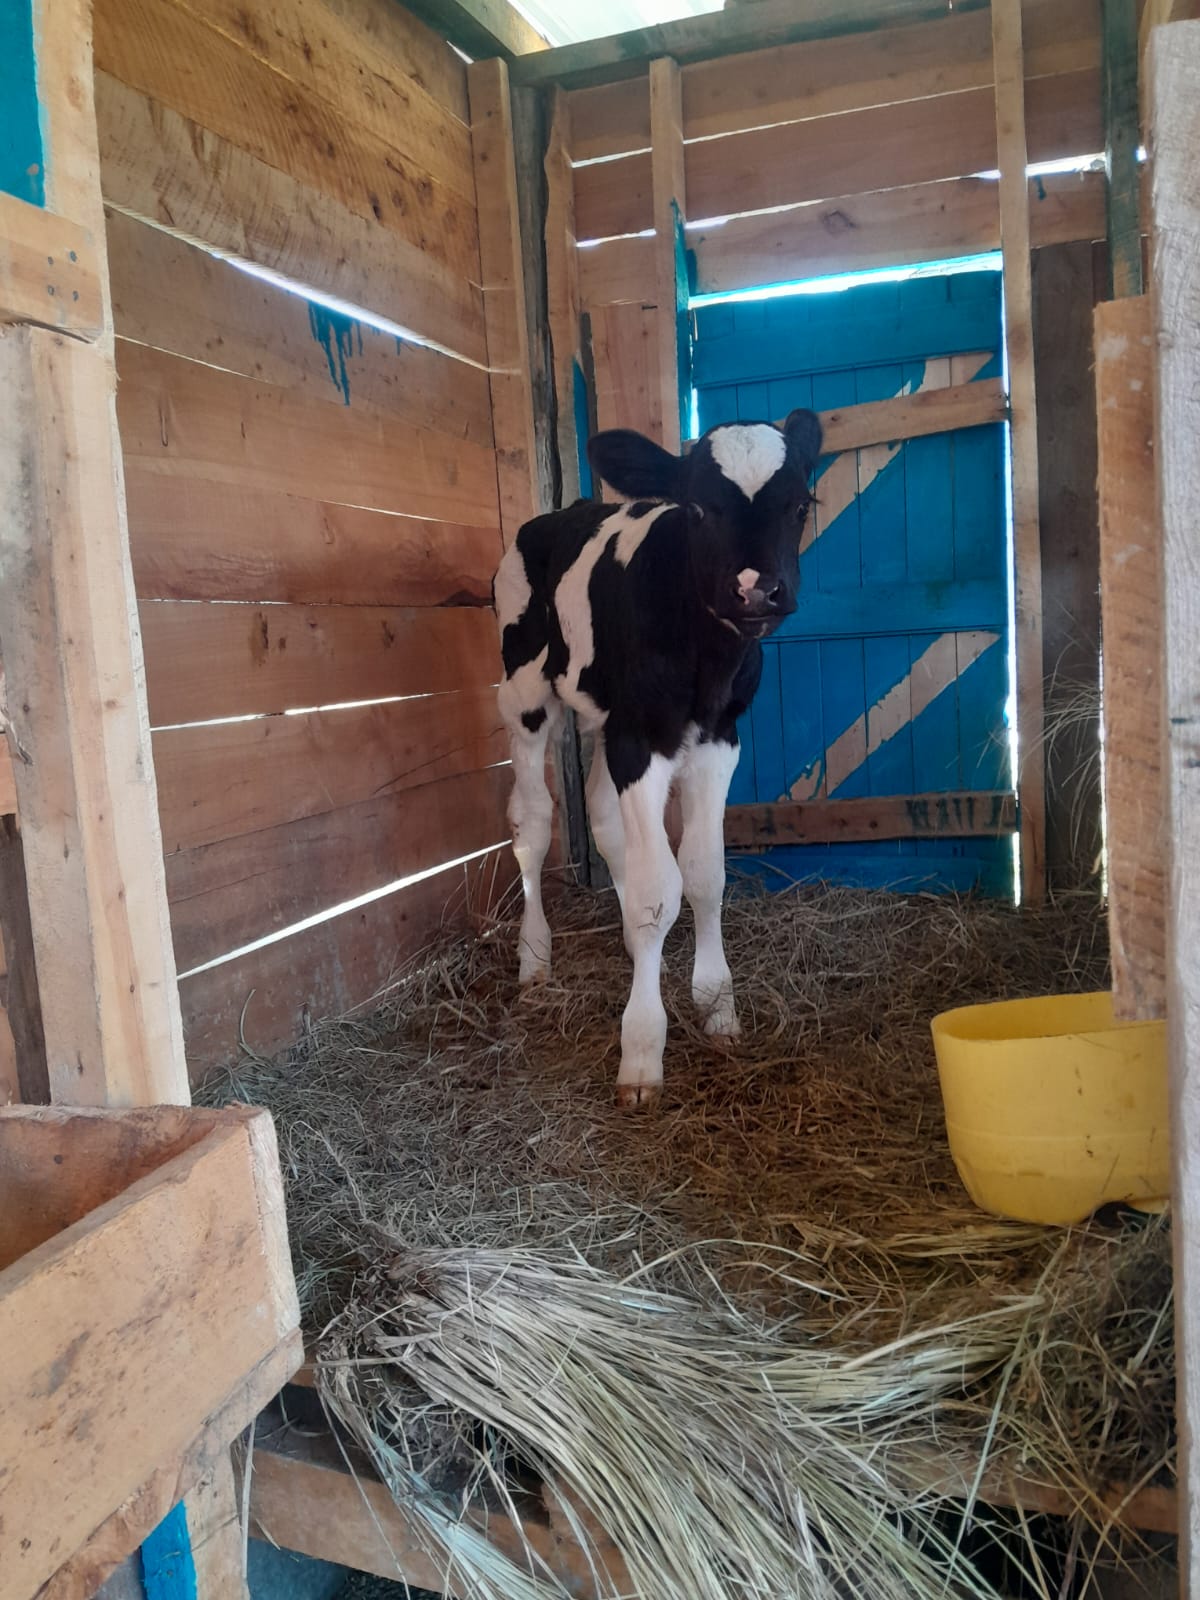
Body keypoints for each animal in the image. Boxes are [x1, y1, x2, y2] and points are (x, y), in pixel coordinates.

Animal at [494, 409, 823, 1106]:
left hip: (605, 716)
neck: (705, 659)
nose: (756, 591)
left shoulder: (717, 737)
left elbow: (703, 874)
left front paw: (718, 1007)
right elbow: (655, 894)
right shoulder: (641, 741)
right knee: (532, 822)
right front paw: (642, 1051)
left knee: (602, 815)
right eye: (697, 508)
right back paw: (534, 957)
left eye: (800, 503)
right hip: (526, 690)